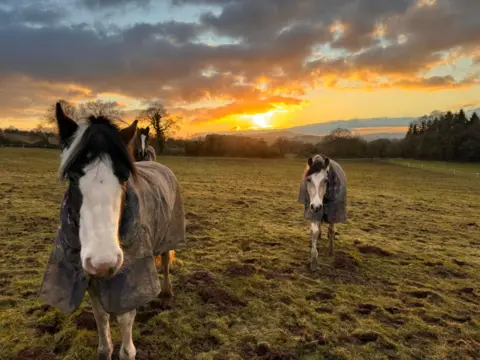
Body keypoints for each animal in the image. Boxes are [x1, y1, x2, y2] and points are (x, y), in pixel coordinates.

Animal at [39, 102, 186, 358]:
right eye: (73, 178)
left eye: (124, 177)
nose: (103, 262)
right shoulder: (90, 279)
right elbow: (101, 320)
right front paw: (105, 348)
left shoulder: (125, 280)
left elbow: (125, 327)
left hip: (169, 236)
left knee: (166, 261)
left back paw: (167, 293)